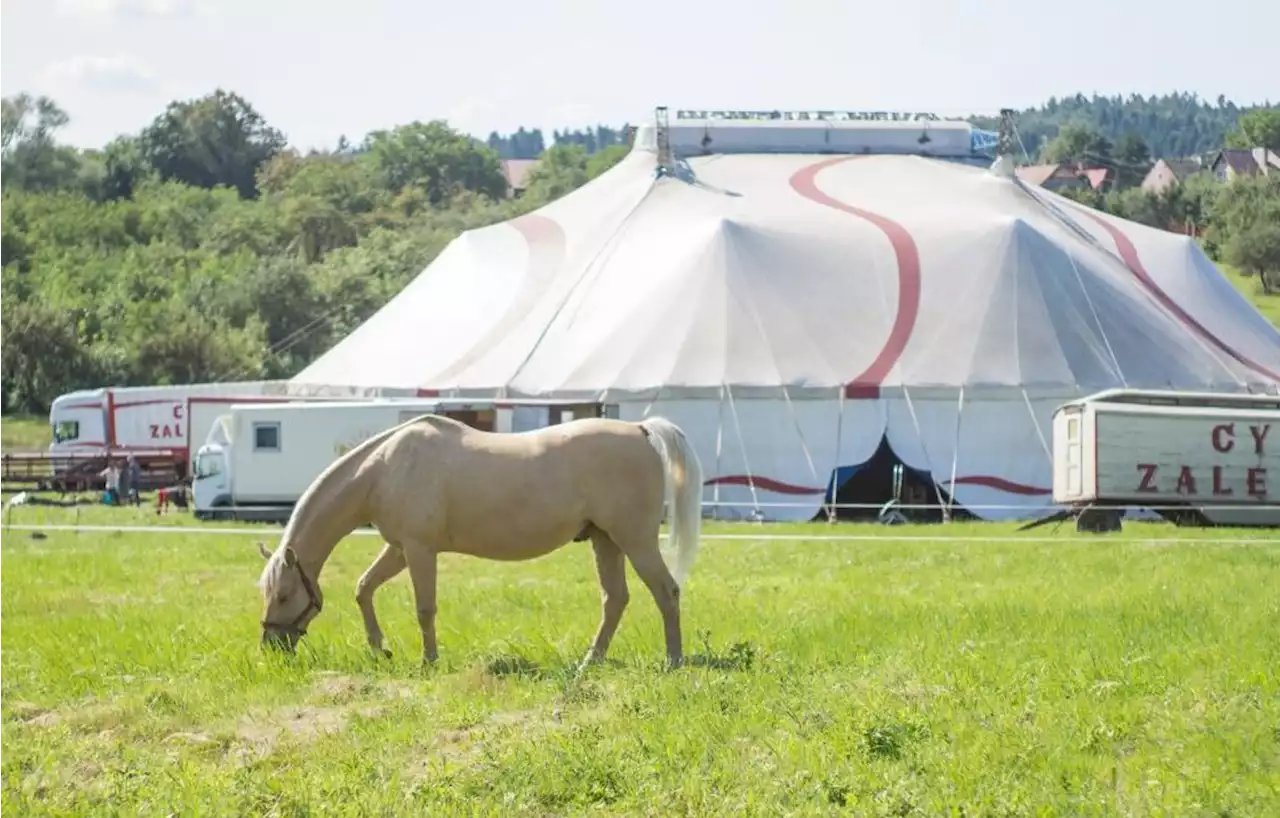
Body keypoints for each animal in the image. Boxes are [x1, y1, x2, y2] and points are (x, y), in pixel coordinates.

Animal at [254, 412, 706, 670]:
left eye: (283, 595)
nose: (271, 648)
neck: (384, 469)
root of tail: (640, 430)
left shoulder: (419, 550)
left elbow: (424, 608)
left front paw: (429, 662)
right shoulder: (399, 549)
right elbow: (364, 588)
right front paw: (380, 649)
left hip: (635, 540)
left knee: (666, 591)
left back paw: (673, 661)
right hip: (605, 540)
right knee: (615, 600)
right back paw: (590, 662)